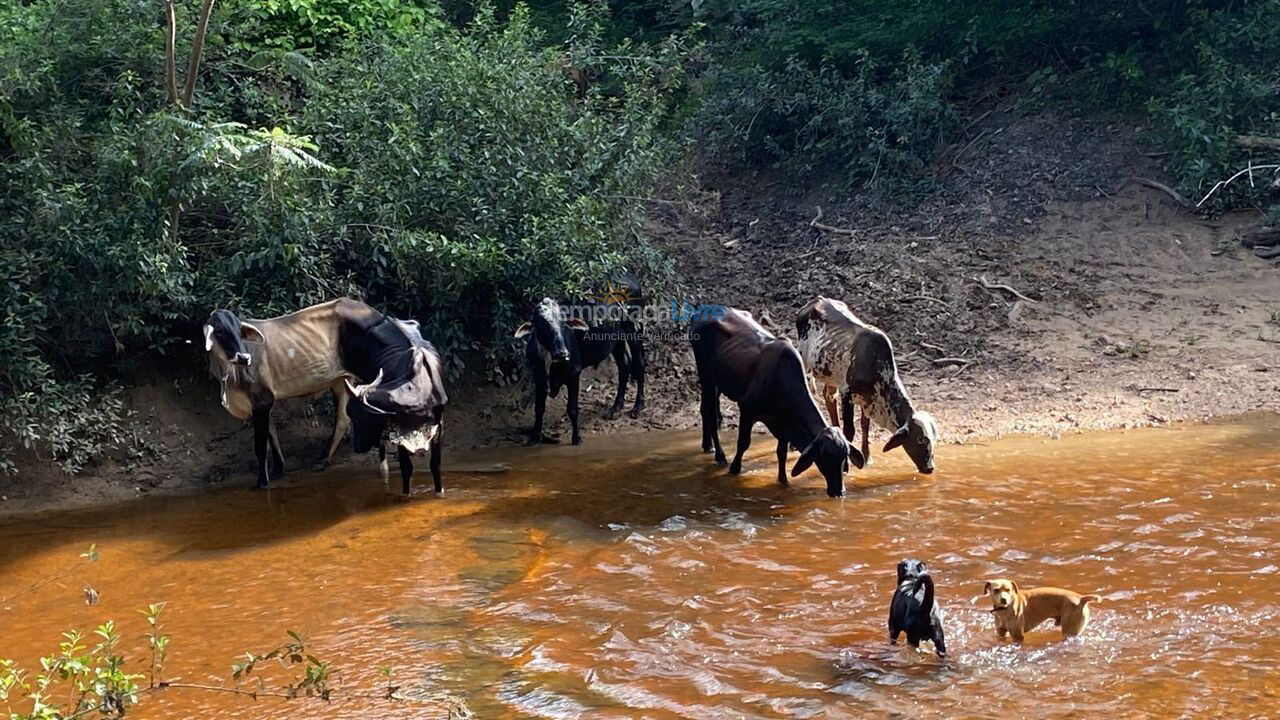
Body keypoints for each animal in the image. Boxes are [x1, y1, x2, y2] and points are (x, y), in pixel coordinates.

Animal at [514, 281, 645, 443]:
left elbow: (572, 409)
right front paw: (534, 437)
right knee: (624, 365)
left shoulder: (574, 373)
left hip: (634, 330)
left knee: (640, 363)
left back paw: (638, 406)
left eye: (564, 324)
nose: (562, 353)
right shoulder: (538, 375)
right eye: (543, 325)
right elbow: (539, 409)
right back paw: (616, 408)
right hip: (617, 340)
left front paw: (576, 438)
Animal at [686, 301, 865, 491]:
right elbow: (743, 443)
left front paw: (783, 481)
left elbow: (782, 452)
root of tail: (703, 311)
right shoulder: (747, 408)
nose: (838, 491)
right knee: (711, 414)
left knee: (705, 409)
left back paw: (707, 446)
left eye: (844, 456)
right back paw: (719, 456)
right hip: (706, 374)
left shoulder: (784, 422)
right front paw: (734, 469)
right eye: (824, 455)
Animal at [793, 295, 936, 471]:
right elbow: (850, 430)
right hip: (804, 359)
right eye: (919, 440)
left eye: (933, 440)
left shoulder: (868, 399)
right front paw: (848, 463)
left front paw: (867, 458)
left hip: (831, 375)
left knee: (829, 397)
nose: (930, 468)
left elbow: (864, 425)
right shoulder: (847, 393)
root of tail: (816, 300)